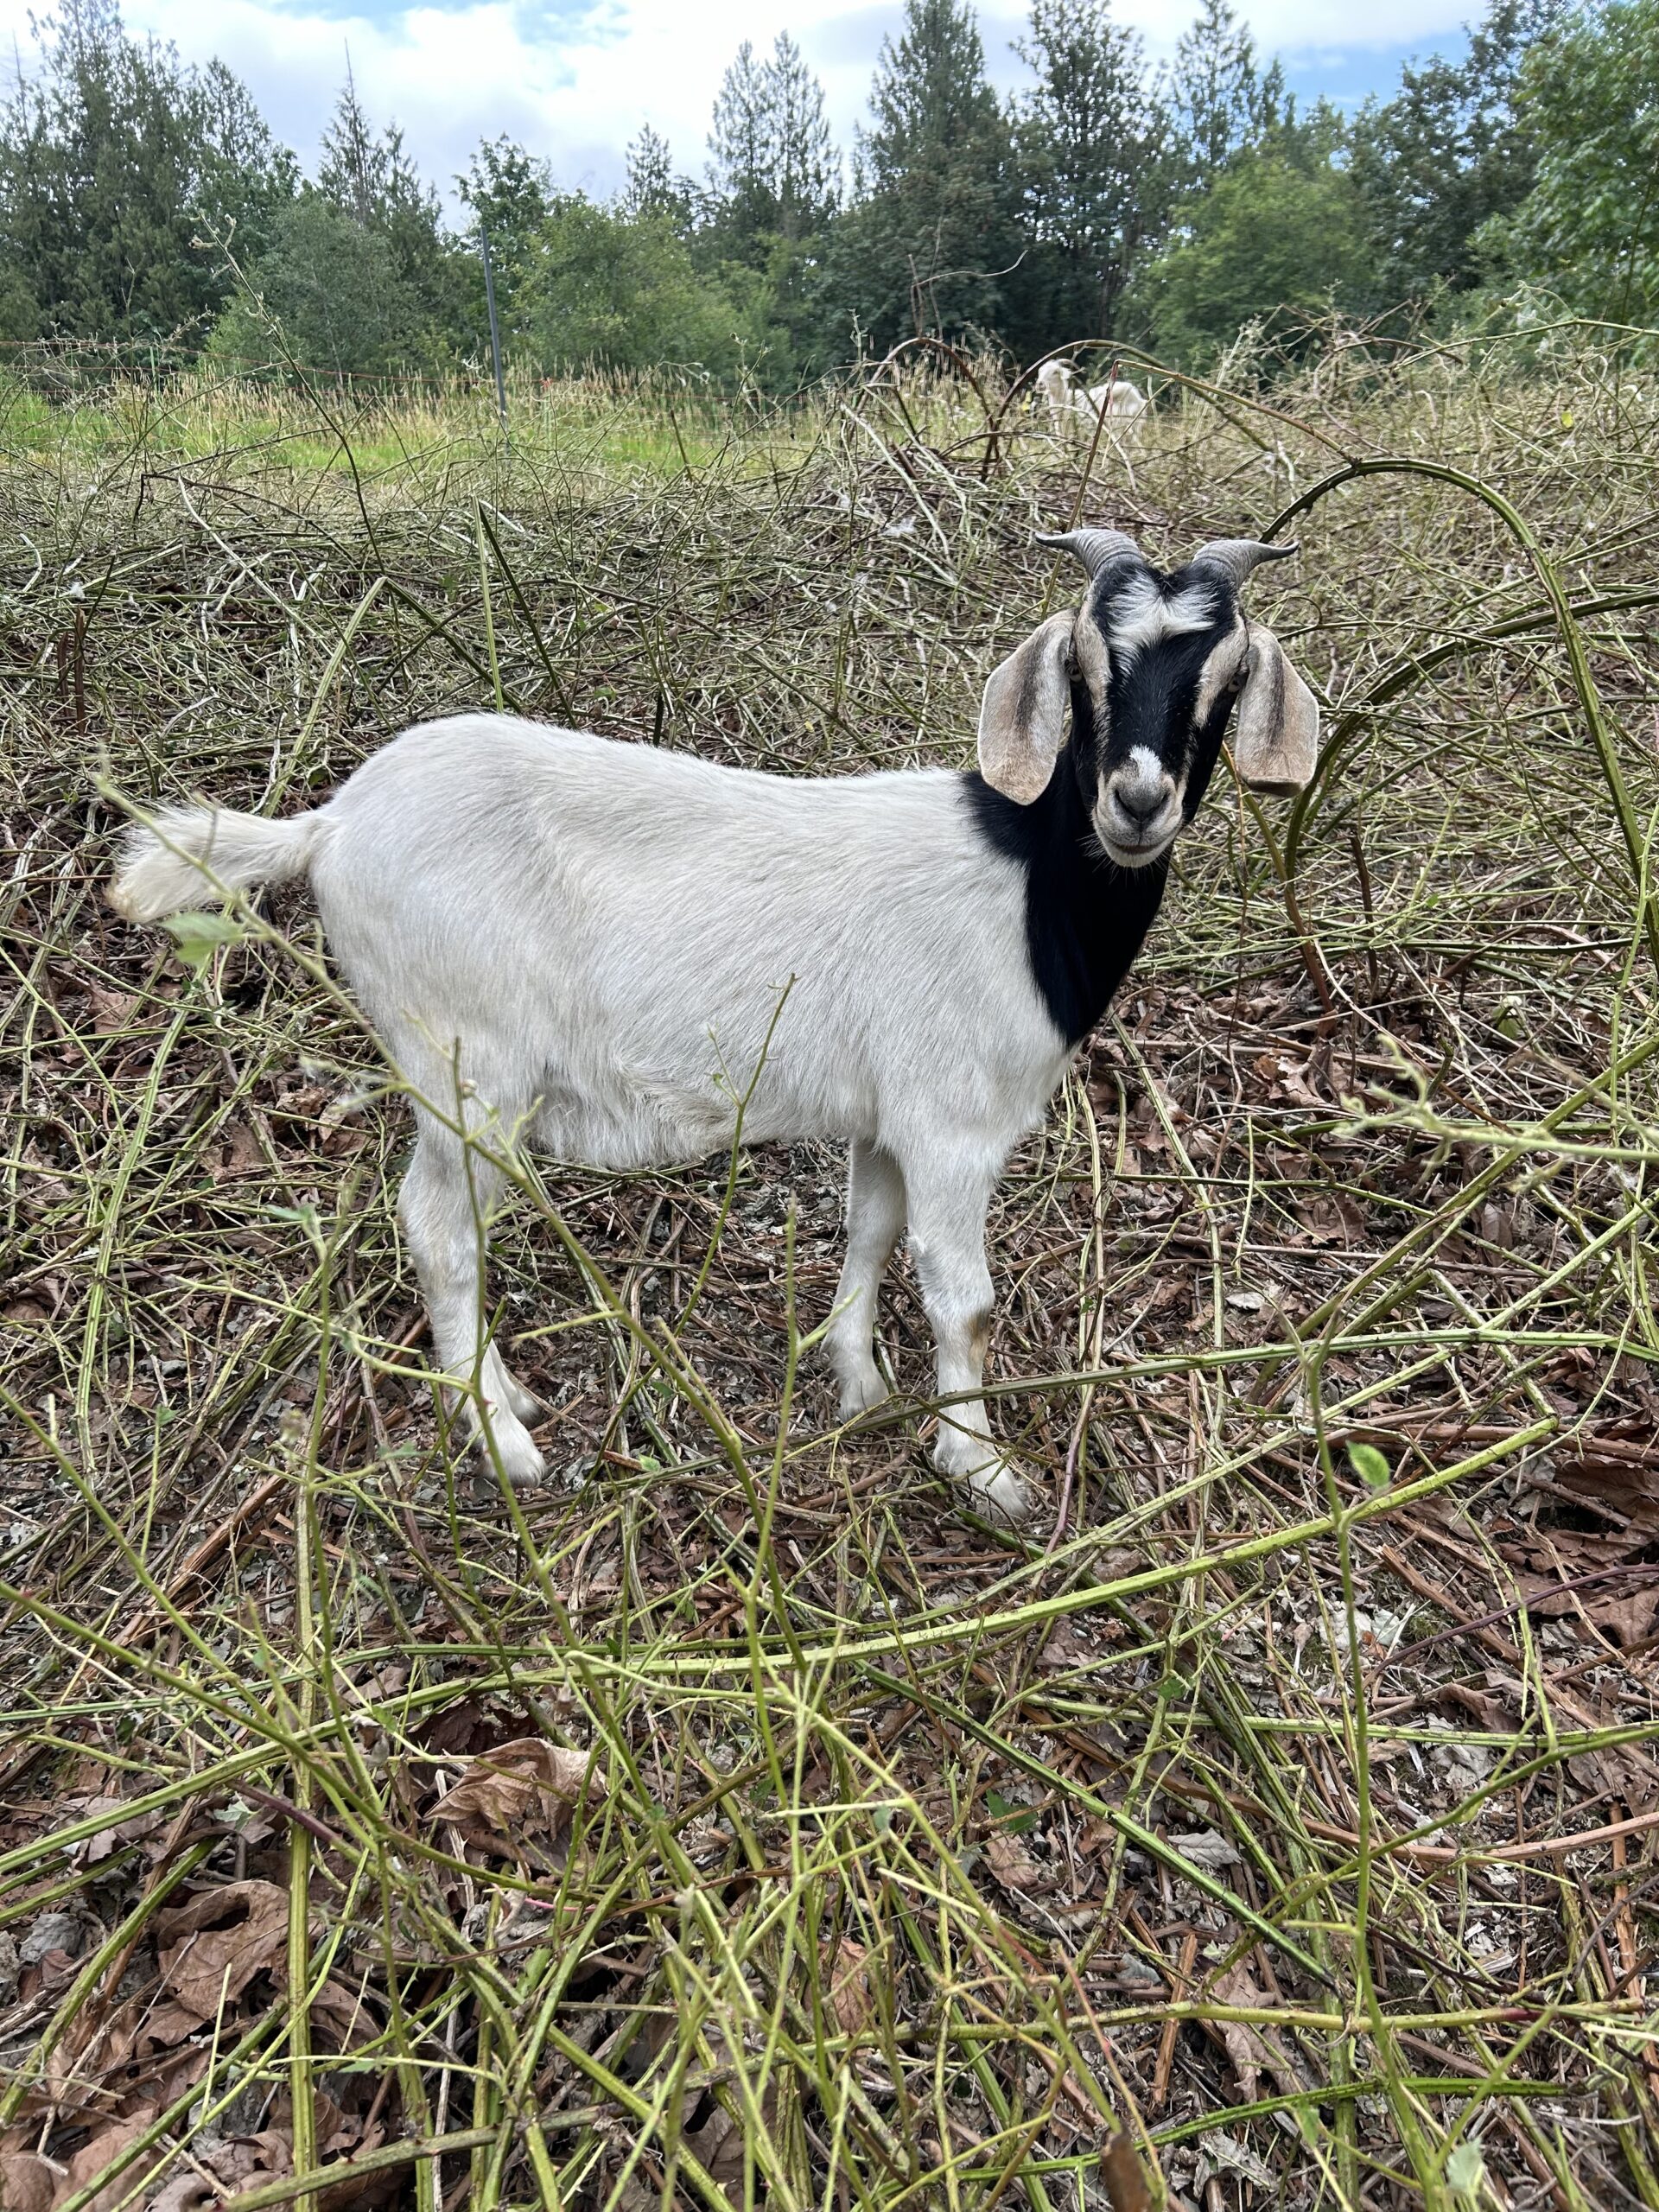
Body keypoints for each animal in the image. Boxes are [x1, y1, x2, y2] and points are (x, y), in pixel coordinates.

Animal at [111, 529, 1319, 1527]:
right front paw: (984, 1471)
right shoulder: (954, 1124)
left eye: (1222, 680)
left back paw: (503, 1394)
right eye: (1084, 667)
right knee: (438, 1224)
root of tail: (329, 824)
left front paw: (855, 1381)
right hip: (467, 1059)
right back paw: (500, 1438)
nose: (1137, 802)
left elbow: (870, 1232)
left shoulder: (886, 1118)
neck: (1029, 892)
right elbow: (963, 1300)